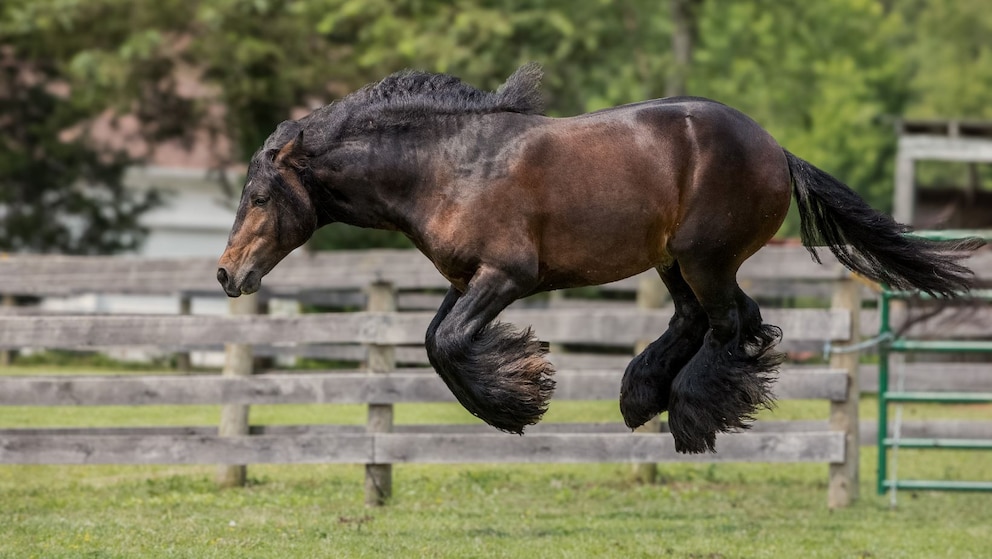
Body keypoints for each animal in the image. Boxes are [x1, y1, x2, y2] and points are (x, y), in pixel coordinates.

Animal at [215, 63, 984, 452]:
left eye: (258, 195)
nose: (227, 273)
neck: (447, 165)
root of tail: (777, 149)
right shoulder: (466, 279)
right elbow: (437, 341)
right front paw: (518, 388)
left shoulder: (506, 276)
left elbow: (450, 344)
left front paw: (518, 399)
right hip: (677, 261)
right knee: (715, 322)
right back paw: (645, 396)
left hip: (705, 256)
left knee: (729, 324)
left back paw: (690, 415)